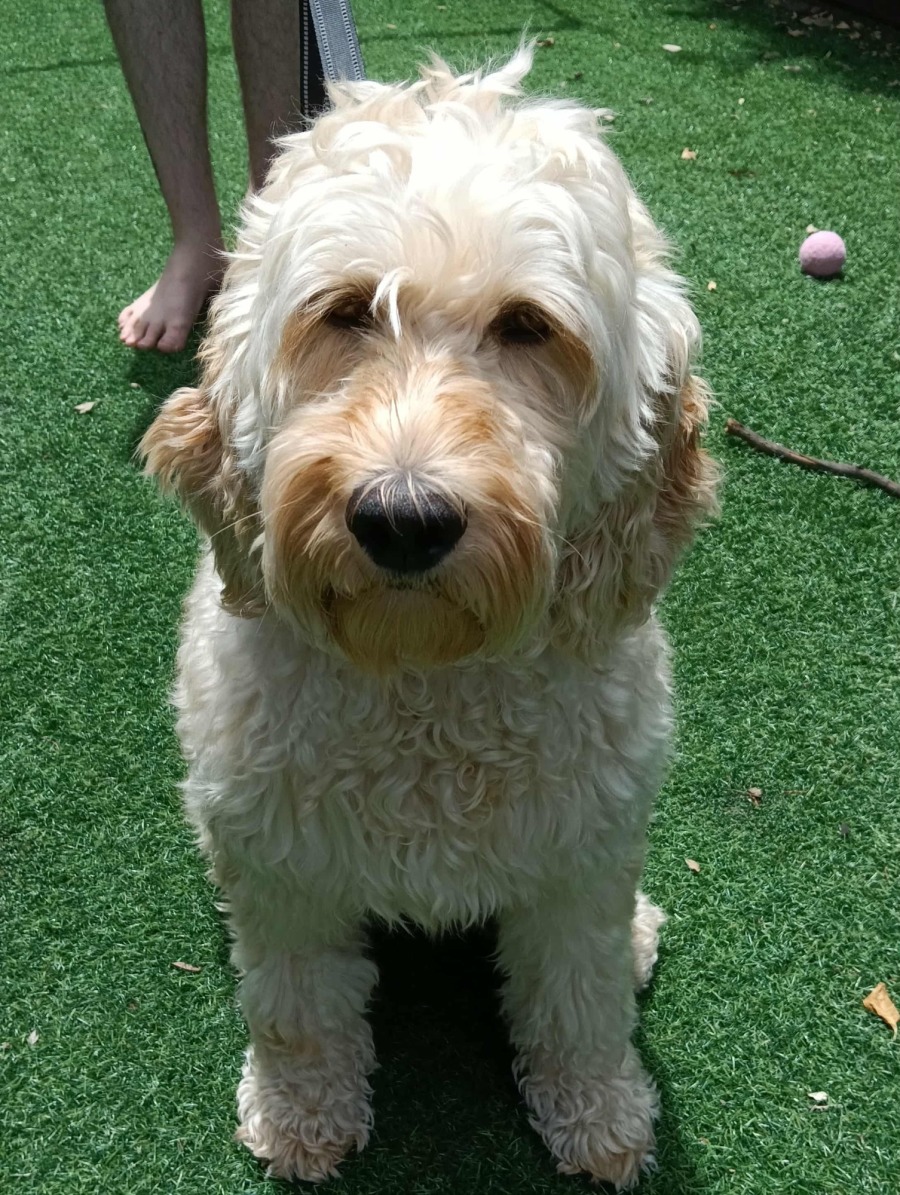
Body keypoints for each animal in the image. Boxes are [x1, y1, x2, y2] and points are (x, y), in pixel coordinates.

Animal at [141, 45, 718, 1189]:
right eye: (346, 311)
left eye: (529, 326)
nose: (402, 519)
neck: (425, 680)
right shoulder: (284, 870)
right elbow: (299, 1010)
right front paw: (301, 1117)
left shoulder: (577, 861)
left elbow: (577, 1002)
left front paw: (600, 1115)